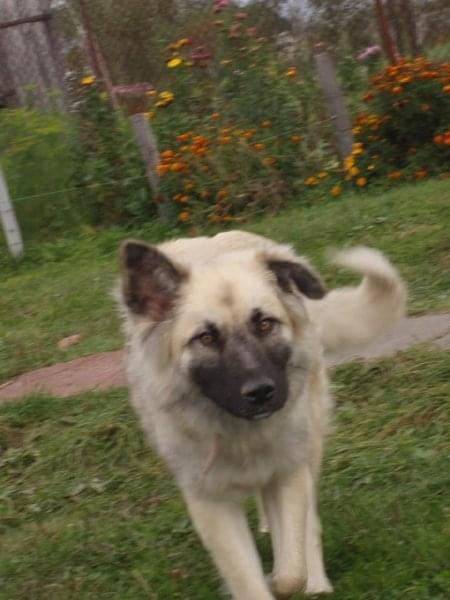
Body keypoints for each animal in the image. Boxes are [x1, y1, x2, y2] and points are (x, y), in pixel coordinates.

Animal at [116, 227, 404, 596]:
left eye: (265, 324)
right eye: (206, 337)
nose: (261, 393)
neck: (240, 434)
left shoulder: (288, 471)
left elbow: (291, 571)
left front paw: (283, 577)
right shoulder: (210, 500)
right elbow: (245, 577)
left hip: (309, 448)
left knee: (308, 525)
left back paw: (317, 582)